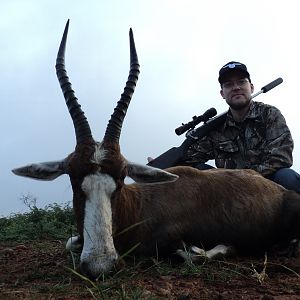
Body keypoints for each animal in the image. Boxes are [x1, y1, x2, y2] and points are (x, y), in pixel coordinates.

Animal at [12, 20, 300, 278]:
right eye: (73, 179)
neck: (139, 206)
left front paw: (214, 249)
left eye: (120, 179)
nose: (99, 266)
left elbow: (192, 254)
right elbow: (69, 242)